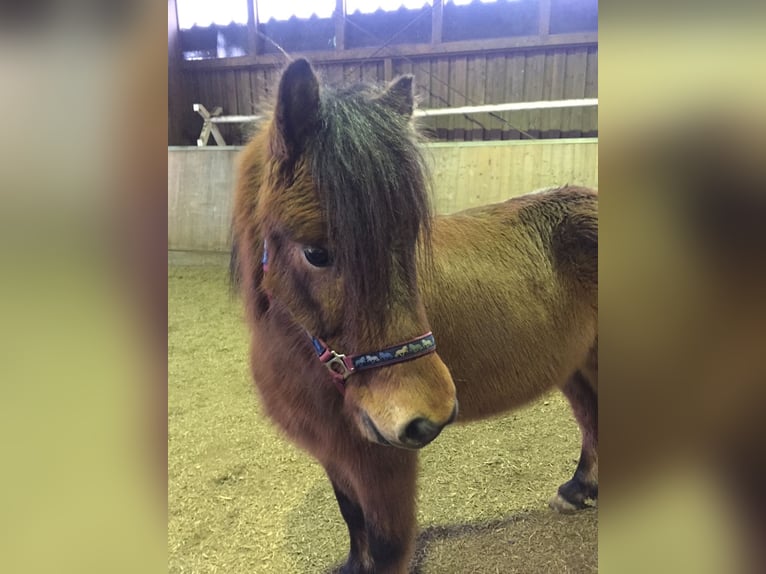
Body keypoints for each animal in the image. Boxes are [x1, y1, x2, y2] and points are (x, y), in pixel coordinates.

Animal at [234, 59, 600, 574]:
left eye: (409, 241)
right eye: (316, 252)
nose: (430, 417)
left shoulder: (382, 461)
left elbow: (387, 543)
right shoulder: (335, 452)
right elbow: (352, 518)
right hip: (577, 366)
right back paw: (578, 489)